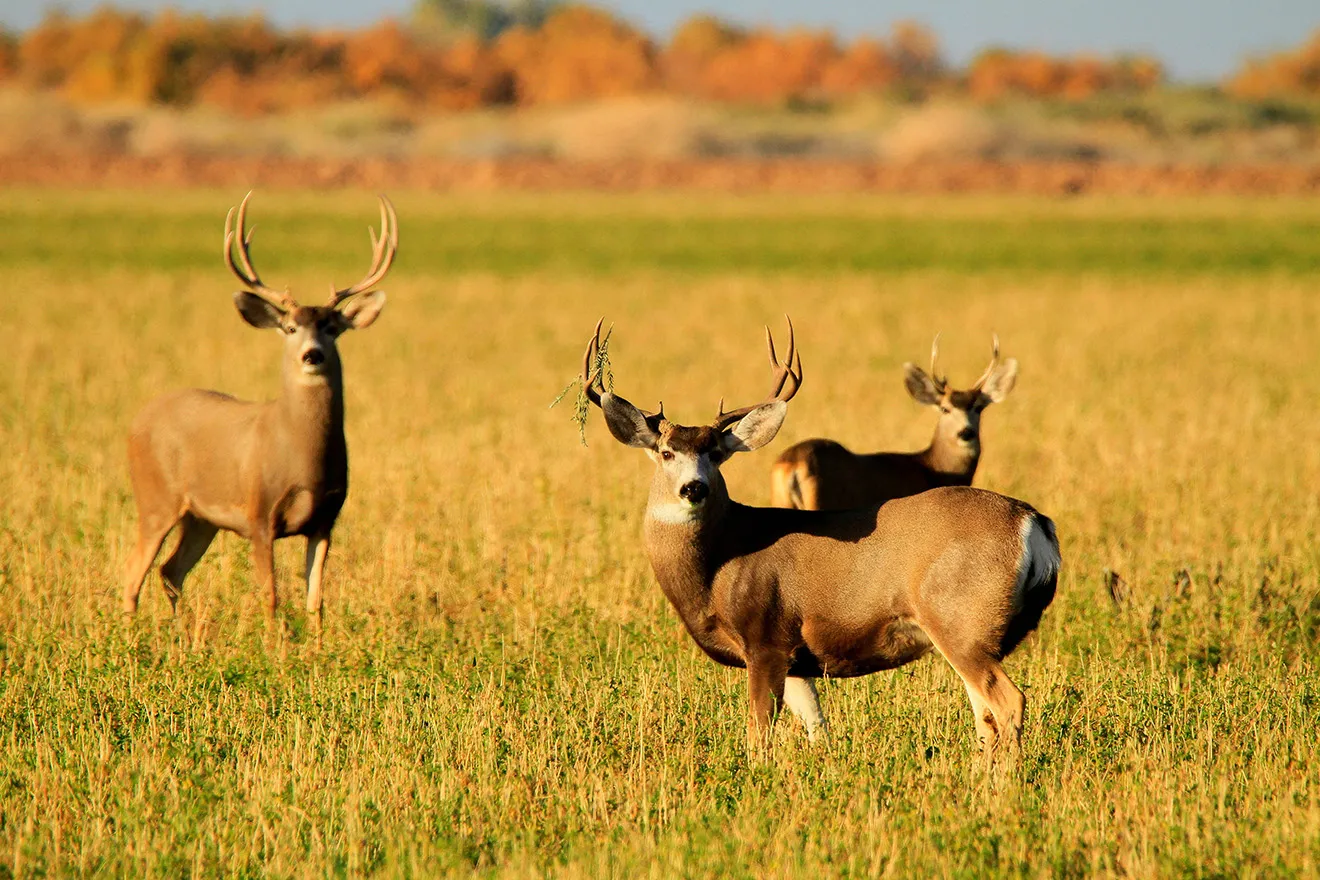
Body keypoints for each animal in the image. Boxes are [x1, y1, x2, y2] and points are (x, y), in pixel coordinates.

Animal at [122, 192, 396, 625]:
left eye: (332, 328)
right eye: (289, 328)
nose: (312, 355)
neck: (302, 456)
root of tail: (138, 419)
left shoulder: (326, 520)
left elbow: (316, 601)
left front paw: (316, 642)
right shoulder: (259, 514)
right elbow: (270, 596)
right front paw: (274, 642)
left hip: (200, 517)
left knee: (170, 571)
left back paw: (178, 634)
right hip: (155, 498)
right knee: (133, 573)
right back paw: (131, 636)